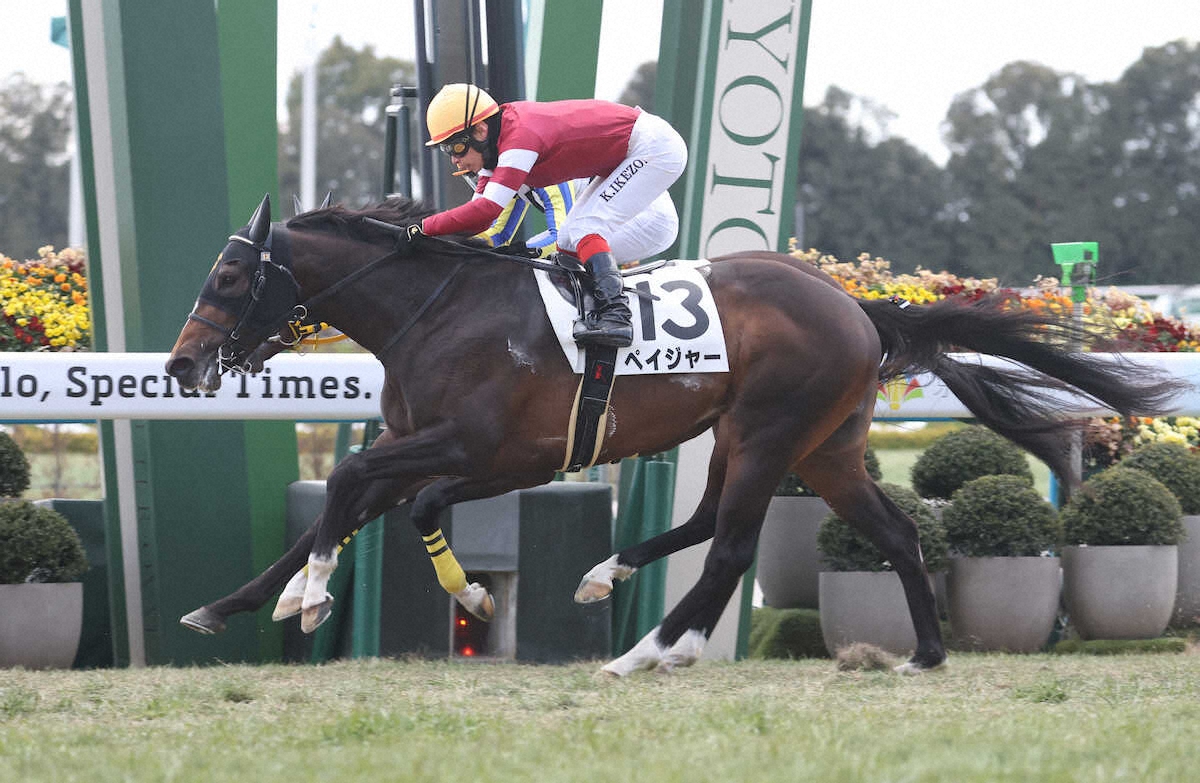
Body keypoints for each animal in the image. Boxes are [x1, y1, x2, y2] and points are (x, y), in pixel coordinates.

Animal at [165, 194, 1183, 676]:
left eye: (228, 278)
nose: (180, 366)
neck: (439, 309)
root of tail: (855, 306)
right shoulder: (440, 445)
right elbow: (339, 504)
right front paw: (241, 601)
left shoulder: (482, 448)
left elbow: (371, 493)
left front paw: (333, 596)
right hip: (815, 445)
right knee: (883, 532)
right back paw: (922, 653)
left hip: (772, 431)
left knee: (731, 545)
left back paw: (647, 648)